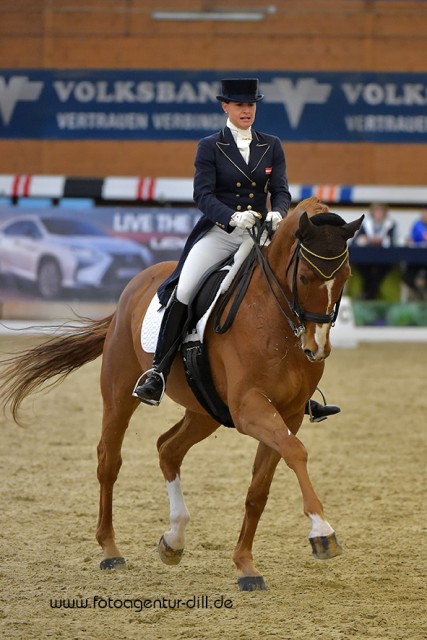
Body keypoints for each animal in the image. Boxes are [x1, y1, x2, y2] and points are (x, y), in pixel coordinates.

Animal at [0, 196, 364, 592]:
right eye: (304, 277)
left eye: (345, 277)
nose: (317, 348)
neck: (276, 321)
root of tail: (137, 283)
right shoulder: (249, 407)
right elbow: (296, 452)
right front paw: (322, 532)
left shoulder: (290, 414)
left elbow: (260, 489)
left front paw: (245, 566)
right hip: (120, 392)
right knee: (109, 460)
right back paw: (110, 549)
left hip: (205, 411)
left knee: (168, 448)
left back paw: (173, 540)